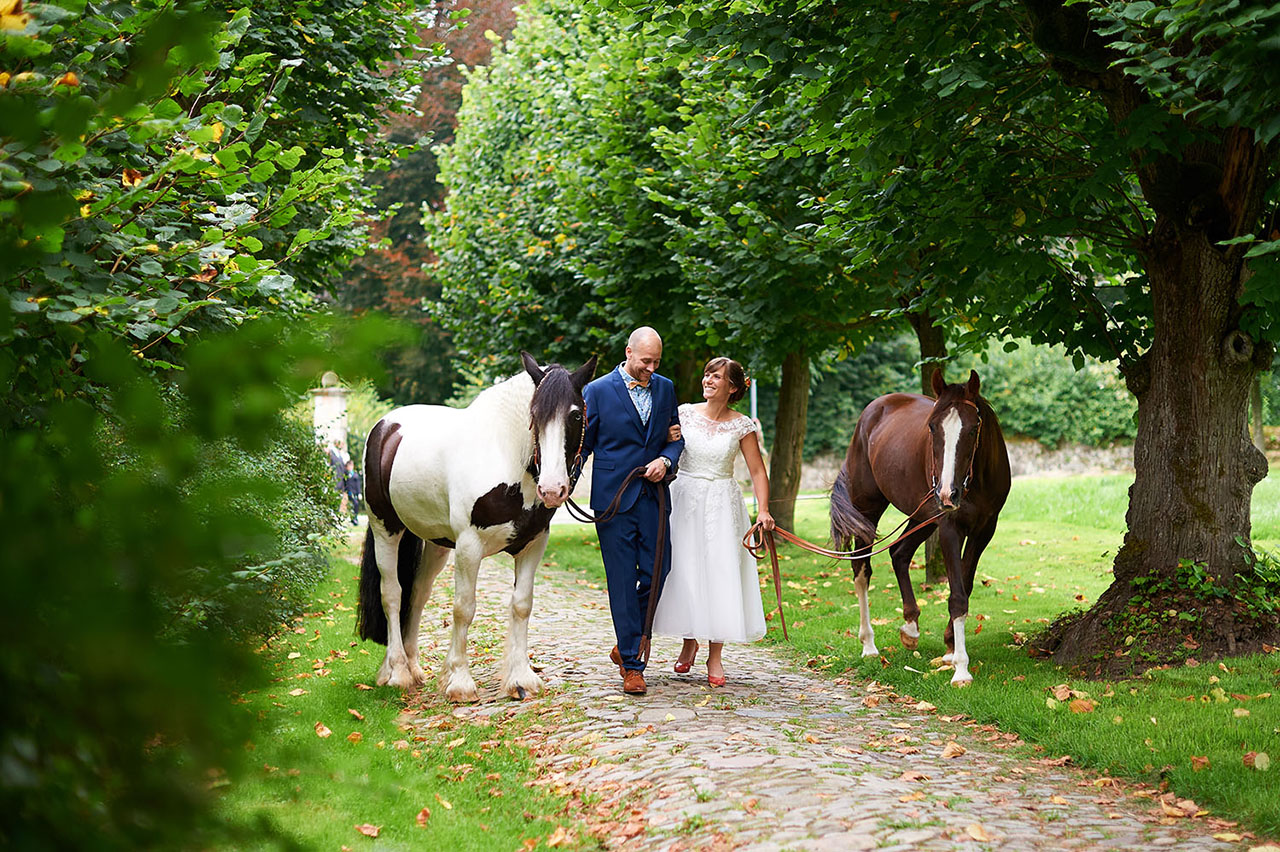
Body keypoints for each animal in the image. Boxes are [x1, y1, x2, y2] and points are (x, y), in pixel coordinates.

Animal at [355, 350, 593, 695]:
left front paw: (520, 677)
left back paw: (413, 667)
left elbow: (522, 604)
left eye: (575, 416)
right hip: (385, 528)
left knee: (418, 593)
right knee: (393, 593)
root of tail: (386, 428)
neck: (505, 456)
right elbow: (463, 608)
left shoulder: (533, 544)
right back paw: (397, 671)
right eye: (534, 414)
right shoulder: (469, 546)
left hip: (436, 544)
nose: (552, 489)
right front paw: (460, 681)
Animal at [829, 368, 1008, 680]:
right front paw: (961, 669)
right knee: (862, 570)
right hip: (869, 510)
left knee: (899, 553)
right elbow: (957, 596)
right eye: (932, 427)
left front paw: (950, 647)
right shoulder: (949, 527)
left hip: (923, 515)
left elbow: (965, 585)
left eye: (973, 428)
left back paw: (911, 628)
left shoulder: (984, 530)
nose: (948, 493)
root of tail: (871, 412)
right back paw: (869, 644)